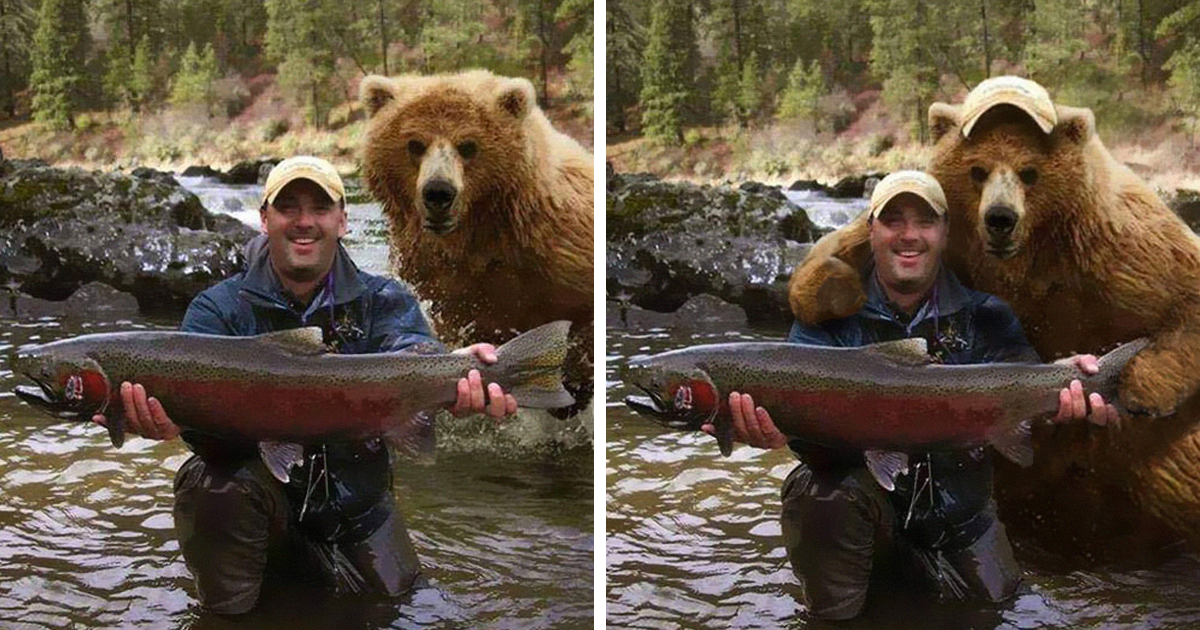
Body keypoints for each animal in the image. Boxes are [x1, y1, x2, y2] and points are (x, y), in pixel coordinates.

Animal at [787, 76, 1200, 549]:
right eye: (978, 170)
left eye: (1030, 172)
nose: (1000, 218)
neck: (1025, 259)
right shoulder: (958, 235)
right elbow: (834, 253)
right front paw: (832, 288)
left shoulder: (1115, 245)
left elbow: (1184, 293)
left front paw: (1142, 388)